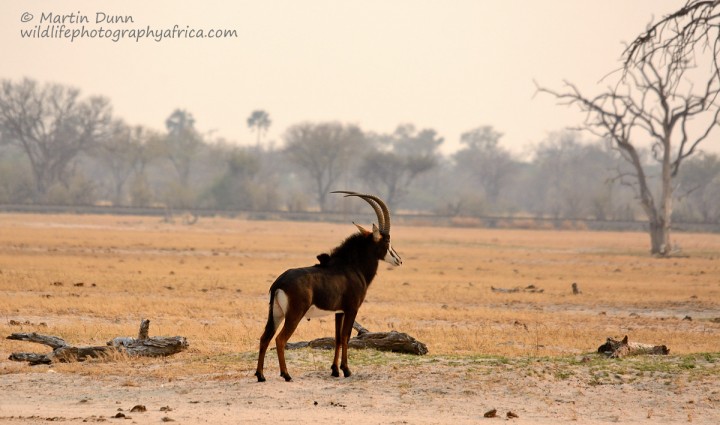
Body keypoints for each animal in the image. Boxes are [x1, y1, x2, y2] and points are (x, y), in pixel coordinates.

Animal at [255, 191, 402, 380]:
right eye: (387, 241)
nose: (399, 260)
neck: (351, 266)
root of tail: (279, 282)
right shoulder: (352, 309)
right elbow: (346, 336)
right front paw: (346, 370)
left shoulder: (338, 312)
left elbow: (337, 337)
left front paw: (334, 370)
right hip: (293, 314)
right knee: (280, 339)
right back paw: (286, 374)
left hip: (276, 314)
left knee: (264, 338)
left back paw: (260, 375)